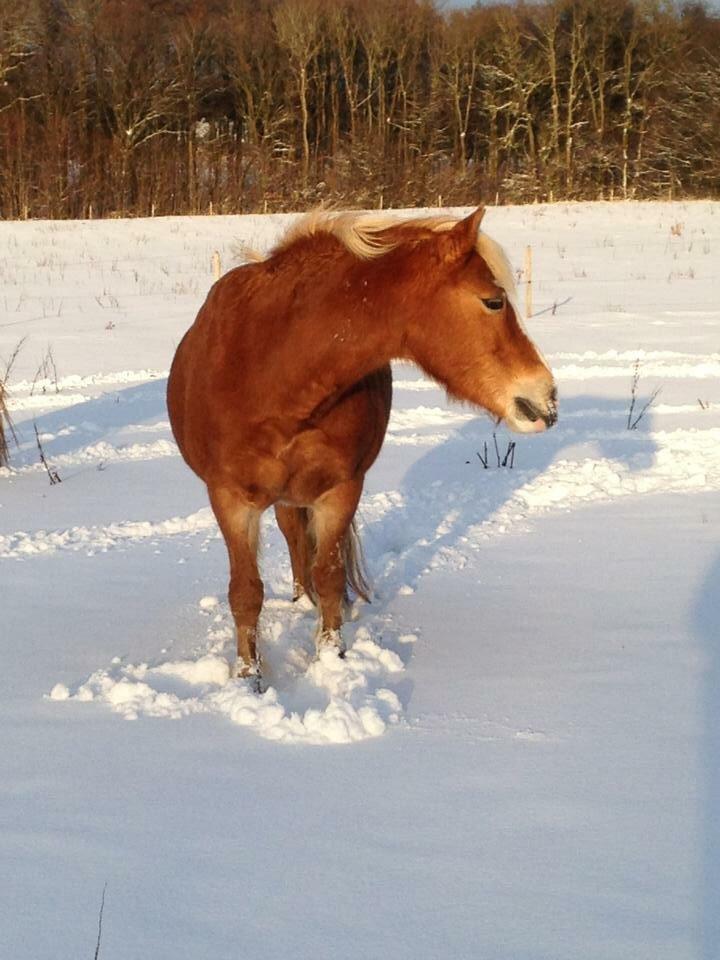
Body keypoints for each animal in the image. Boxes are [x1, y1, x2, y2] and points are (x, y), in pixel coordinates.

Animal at [167, 204, 556, 684]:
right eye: (493, 301)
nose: (547, 398)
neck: (268, 371)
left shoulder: (340, 490)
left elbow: (331, 575)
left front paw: (333, 658)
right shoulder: (230, 500)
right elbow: (245, 591)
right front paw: (248, 677)